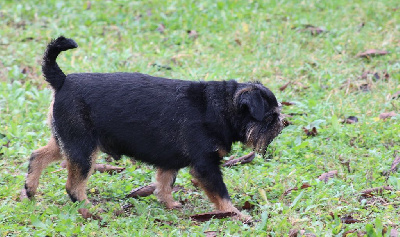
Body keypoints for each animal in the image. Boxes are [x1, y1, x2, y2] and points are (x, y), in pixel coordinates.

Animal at [22, 35, 284, 220]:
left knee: (38, 156)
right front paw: (237, 214)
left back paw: (31, 190)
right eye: (270, 117)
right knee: (74, 186)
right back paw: (89, 211)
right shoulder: (206, 165)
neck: (222, 107)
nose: (283, 123)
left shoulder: (169, 161)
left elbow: (164, 184)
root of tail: (62, 80)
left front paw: (169, 205)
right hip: (82, 148)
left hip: (65, 140)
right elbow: (221, 193)